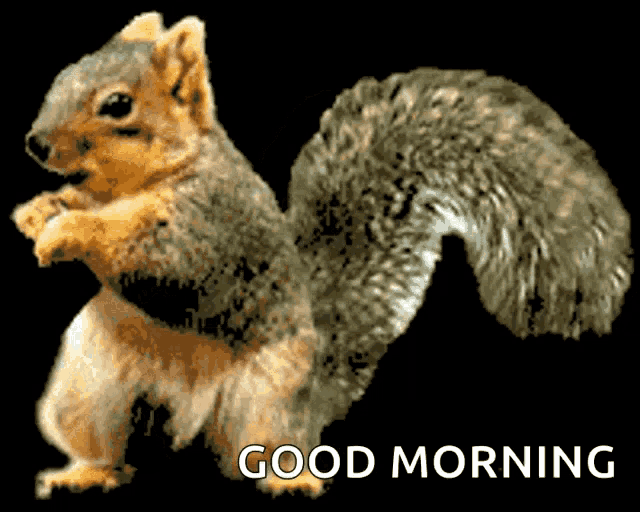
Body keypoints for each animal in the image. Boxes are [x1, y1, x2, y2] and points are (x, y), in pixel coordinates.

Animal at [13, 12, 632, 499]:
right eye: (63, 75)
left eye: (118, 104)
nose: (35, 143)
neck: (141, 182)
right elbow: (80, 204)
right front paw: (39, 211)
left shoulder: (212, 231)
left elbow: (157, 256)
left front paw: (68, 229)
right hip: (89, 386)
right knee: (111, 451)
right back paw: (85, 474)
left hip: (268, 397)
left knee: (269, 446)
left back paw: (291, 482)